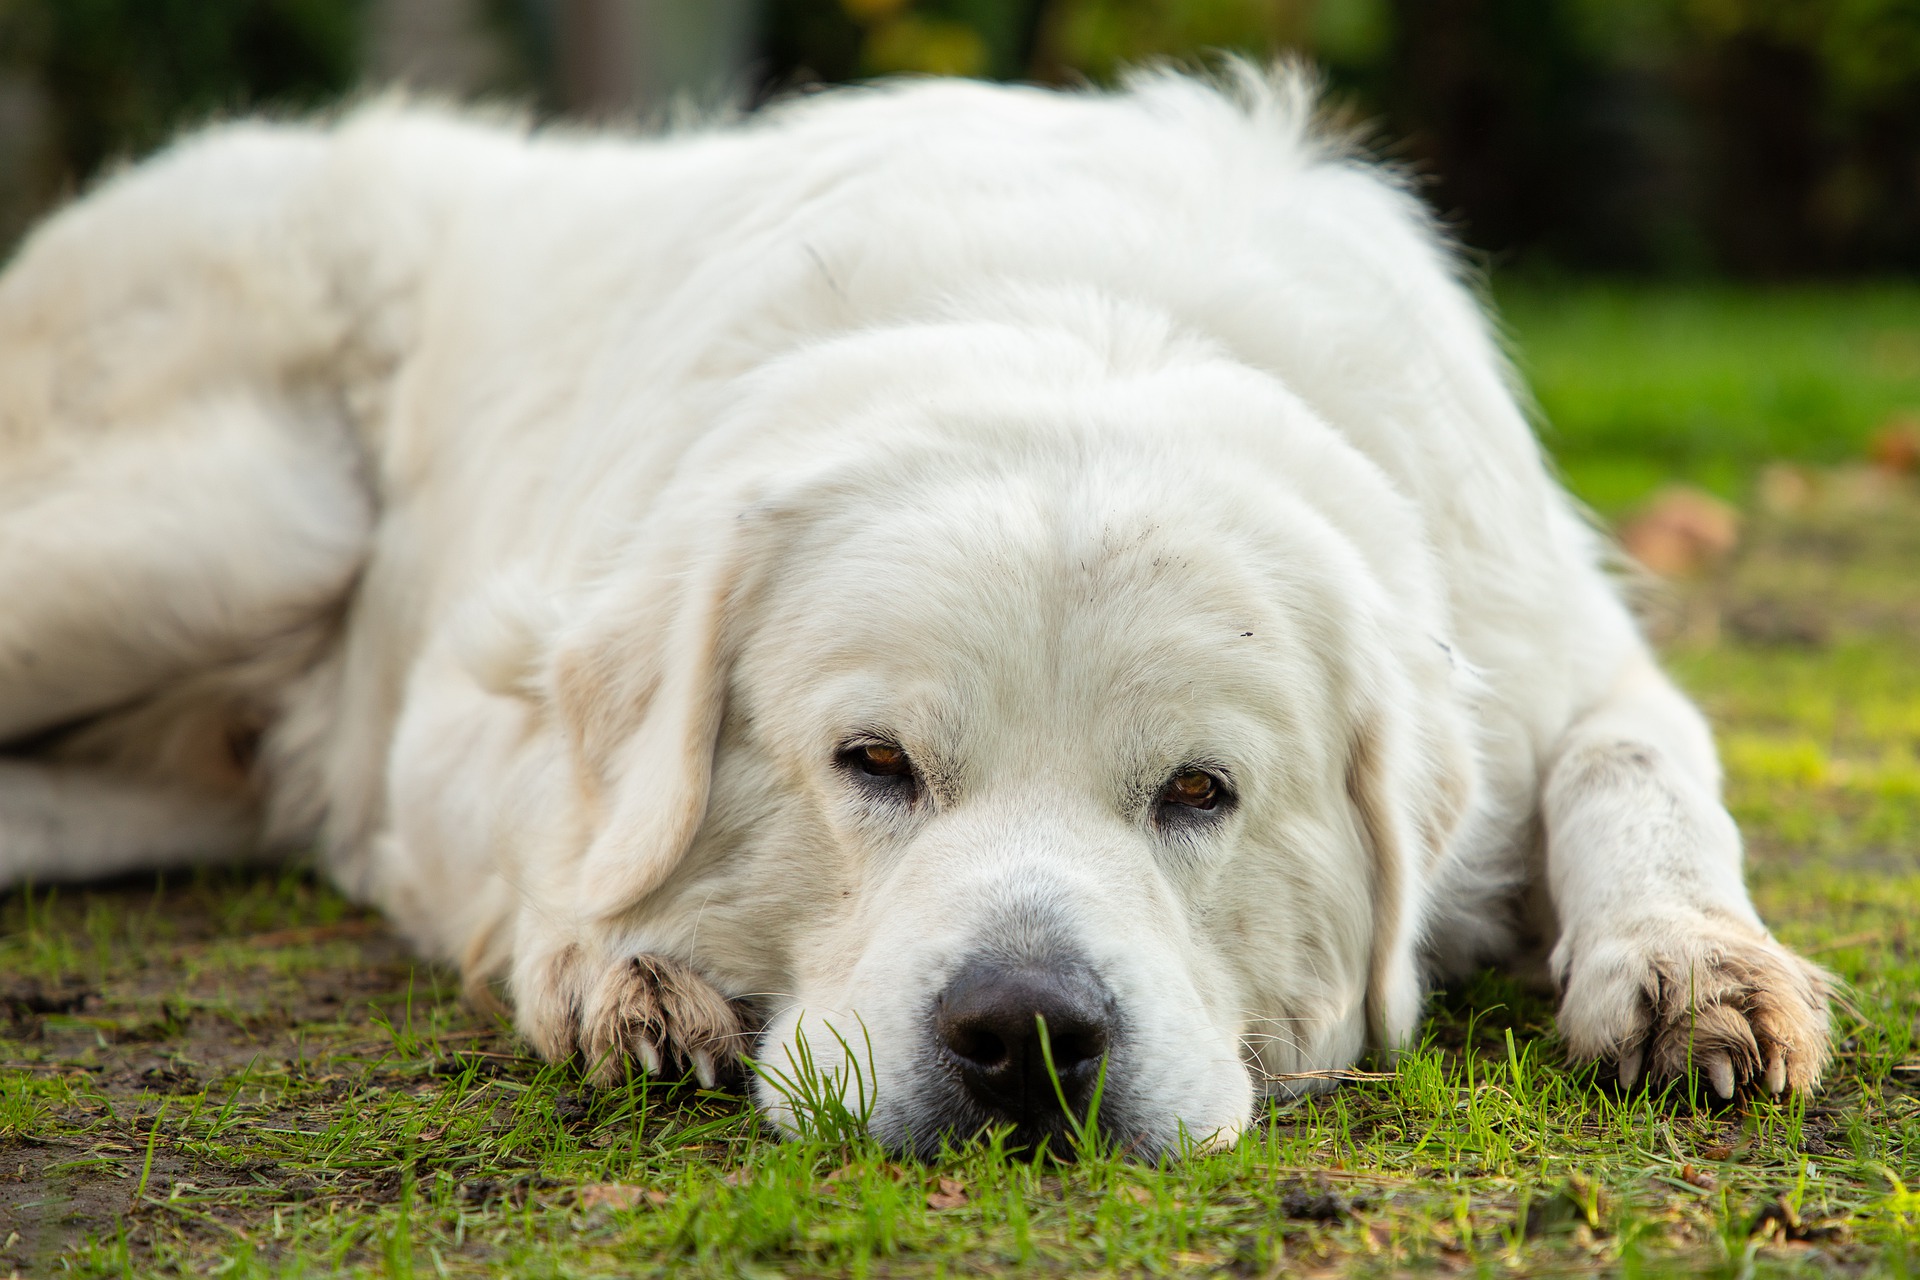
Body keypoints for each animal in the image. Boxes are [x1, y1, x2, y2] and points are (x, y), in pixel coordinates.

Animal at [0, 65, 1827, 1159]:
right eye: (872, 764)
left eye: (1201, 793)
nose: (1025, 1036)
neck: (1084, 322)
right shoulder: (462, 699)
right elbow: (556, 831)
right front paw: (625, 973)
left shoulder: (1560, 654)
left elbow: (1644, 768)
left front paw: (1697, 966)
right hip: (226, 532)